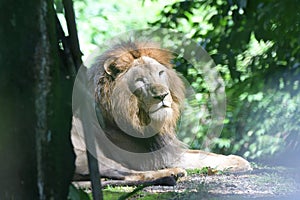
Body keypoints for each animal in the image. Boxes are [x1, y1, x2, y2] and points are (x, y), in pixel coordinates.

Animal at [71, 39, 252, 185]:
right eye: (139, 80)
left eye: (160, 73)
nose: (162, 95)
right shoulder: (143, 156)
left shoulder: (166, 151)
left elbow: (203, 155)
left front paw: (237, 159)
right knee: (128, 174)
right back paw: (173, 173)